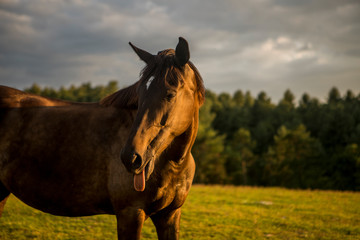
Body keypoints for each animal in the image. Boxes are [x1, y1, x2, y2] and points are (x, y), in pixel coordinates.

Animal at [0, 37, 205, 240]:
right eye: (140, 94)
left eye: (170, 94)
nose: (131, 157)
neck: (172, 163)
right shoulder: (130, 213)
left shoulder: (169, 215)